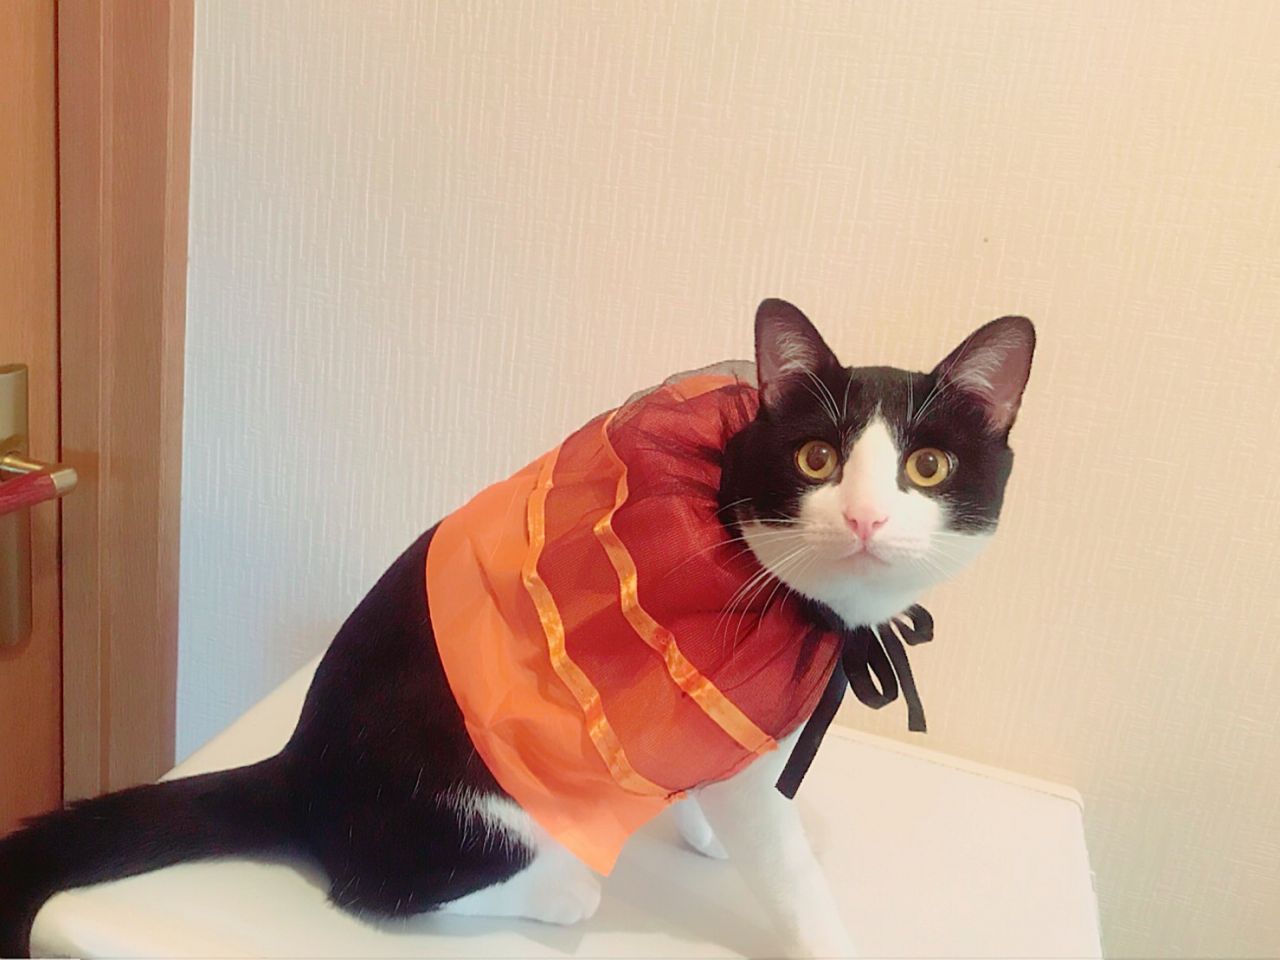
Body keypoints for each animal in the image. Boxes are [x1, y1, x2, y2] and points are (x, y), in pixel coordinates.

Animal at [0, 298, 1033, 958]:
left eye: (930, 467)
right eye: (817, 458)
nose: (865, 519)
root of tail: (301, 762)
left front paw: (696, 822)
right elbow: (783, 863)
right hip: (458, 802)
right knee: (380, 881)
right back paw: (557, 884)